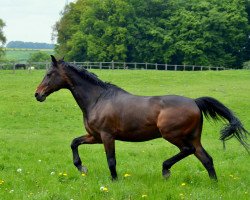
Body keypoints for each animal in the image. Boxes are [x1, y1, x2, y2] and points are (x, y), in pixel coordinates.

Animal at [34, 55, 248, 180]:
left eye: (49, 74)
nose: (37, 94)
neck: (97, 99)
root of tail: (195, 102)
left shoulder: (107, 136)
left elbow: (111, 160)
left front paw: (114, 181)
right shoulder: (95, 136)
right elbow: (74, 142)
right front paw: (81, 168)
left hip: (172, 134)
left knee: (188, 151)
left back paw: (165, 169)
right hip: (194, 137)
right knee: (206, 159)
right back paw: (213, 183)